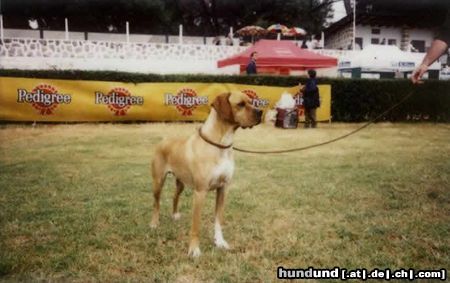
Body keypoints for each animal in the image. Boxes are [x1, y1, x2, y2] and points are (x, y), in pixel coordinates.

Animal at [152, 92, 264, 258]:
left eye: (252, 102)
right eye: (240, 104)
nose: (260, 112)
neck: (221, 144)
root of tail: (163, 140)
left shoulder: (223, 189)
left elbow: (218, 220)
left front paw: (220, 242)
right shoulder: (200, 192)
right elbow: (196, 226)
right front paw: (194, 250)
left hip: (181, 182)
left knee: (174, 196)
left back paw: (175, 214)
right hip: (158, 181)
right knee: (156, 203)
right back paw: (154, 223)